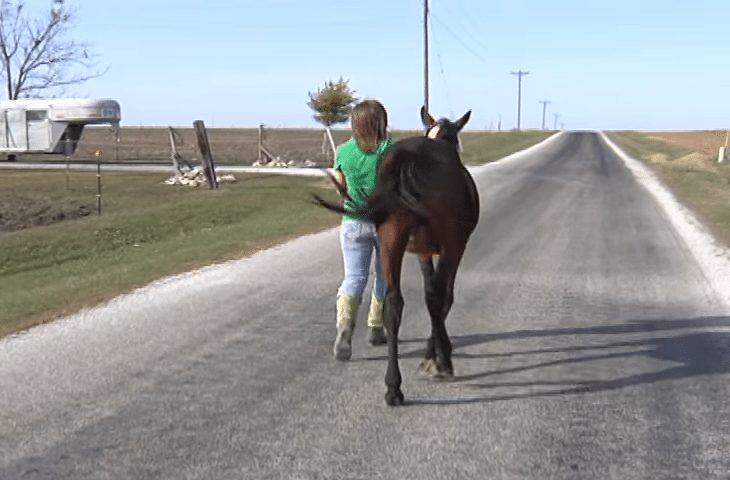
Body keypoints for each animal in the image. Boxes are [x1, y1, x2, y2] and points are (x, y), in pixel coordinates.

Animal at [312, 107, 480, 406]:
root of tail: (407, 160)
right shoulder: (454, 246)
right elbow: (442, 297)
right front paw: (437, 358)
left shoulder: (423, 251)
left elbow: (429, 295)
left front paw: (433, 356)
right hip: (447, 240)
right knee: (433, 297)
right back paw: (439, 364)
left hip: (391, 236)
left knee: (392, 303)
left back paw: (393, 387)